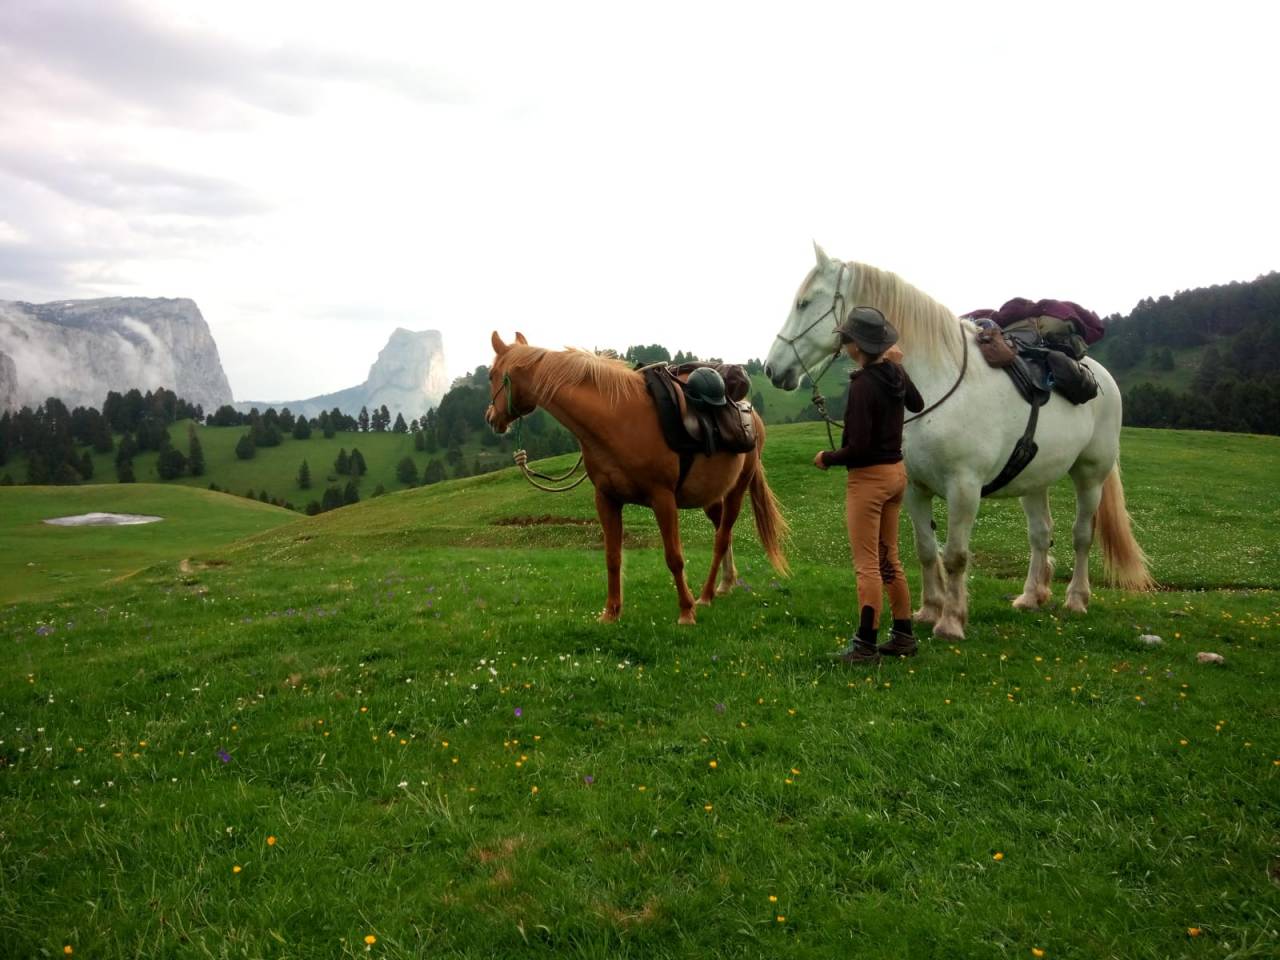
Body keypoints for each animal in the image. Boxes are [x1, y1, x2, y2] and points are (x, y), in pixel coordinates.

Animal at [485, 332, 789, 625]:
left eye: (491, 375)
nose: (490, 417)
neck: (618, 419)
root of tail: (751, 414)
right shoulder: (606, 499)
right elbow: (612, 557)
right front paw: (611, 612)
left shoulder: (663, 498)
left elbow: (674, 557)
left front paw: (686, 611)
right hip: (712, 496)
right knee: (722, 532)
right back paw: (724, 584)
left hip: (737, 489)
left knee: (721, 538)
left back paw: (705, 595)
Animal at [764, 245, 1154, 641]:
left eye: (804, 303)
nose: (771, 369)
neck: (935, 384)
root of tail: (1102, 376)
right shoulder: (914, 489)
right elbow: (925, 549)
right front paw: (928, 610)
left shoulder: (963, 488)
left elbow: (955, 556)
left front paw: (951, 621)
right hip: (1033, 481)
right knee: (1040, 534)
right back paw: (1031, 595)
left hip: (1090, 476)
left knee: (1081, 536)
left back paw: (1076, 598)